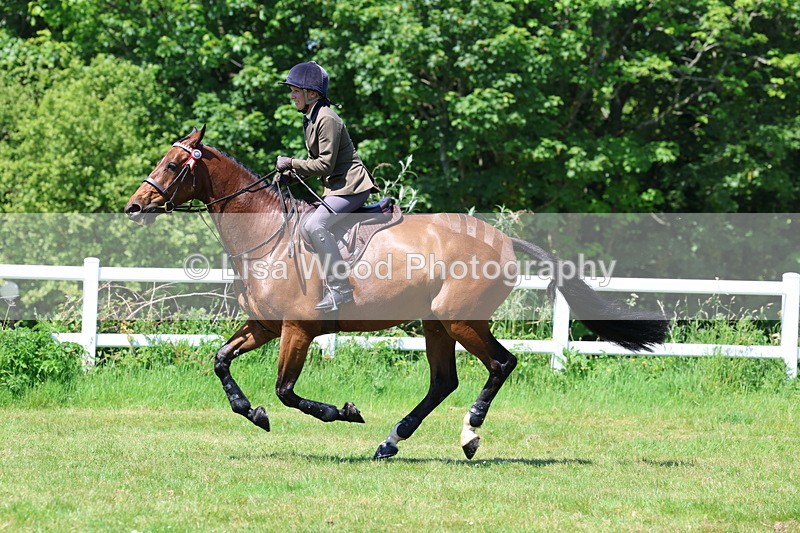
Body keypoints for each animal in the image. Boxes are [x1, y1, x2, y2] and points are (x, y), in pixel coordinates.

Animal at [124, 126, 668, 460]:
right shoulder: (265, 325)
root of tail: (501, 238)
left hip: (460, 319)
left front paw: (341, 412)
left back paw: (469, 433)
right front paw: (252, 414)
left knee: (500, 364)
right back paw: (391, 442)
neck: (267, 236)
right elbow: (221, 360)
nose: (133, 206)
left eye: (172, 165)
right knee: (443, 382)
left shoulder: (297, 328)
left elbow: (285, 390)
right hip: (435, 324)